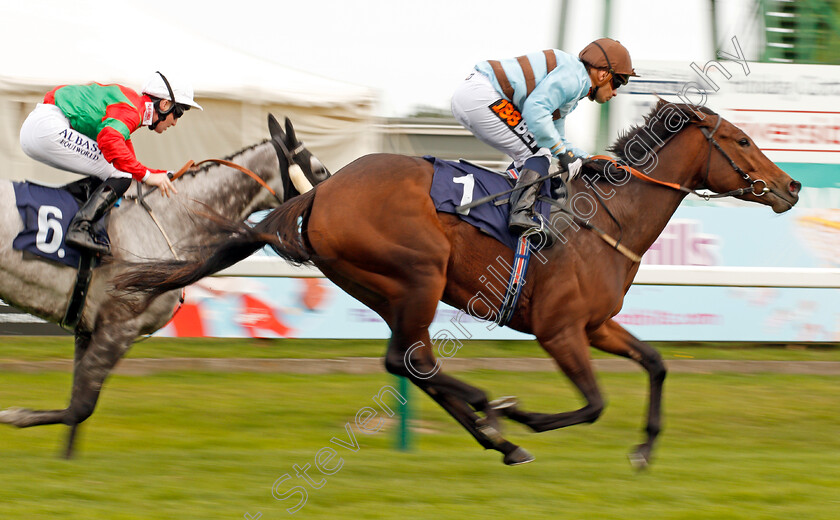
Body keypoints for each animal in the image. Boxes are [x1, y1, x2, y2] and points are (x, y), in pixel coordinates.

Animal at [0, 115, 328, 456]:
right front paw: (14, 415)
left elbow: (76, 408)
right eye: (319, 170)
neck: (171, 220)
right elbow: (81, 407)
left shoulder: (88, 328)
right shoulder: (119, 327)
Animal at [113, 101, 800, 468]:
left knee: (411, 360)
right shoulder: (559, 330)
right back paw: (496, 415)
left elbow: (656, 363)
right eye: (742, 139)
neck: (603, 221)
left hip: (384, 286)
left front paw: (643, 451)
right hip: (419, 272)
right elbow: (593, 403)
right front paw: (525, 412)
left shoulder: (596, 324)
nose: (791, 186)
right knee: (409, 359)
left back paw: (496, 435)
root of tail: (318, 193)